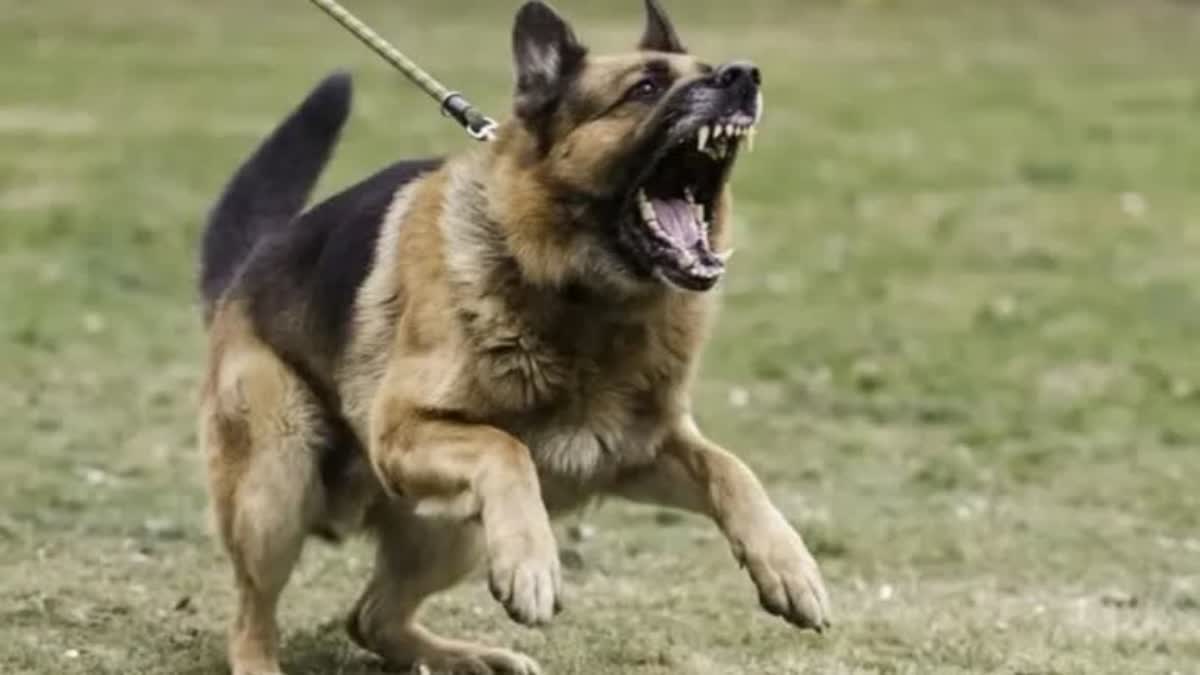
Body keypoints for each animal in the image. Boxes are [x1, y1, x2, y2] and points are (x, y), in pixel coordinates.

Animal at [201, 2, 830, 667]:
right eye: (645, 88)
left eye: (709, 71)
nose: (743, 76)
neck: (584, 301)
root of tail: (246, 268)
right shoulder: (401, 431)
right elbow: (505, 447)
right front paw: (533, 564)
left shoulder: (637, 450)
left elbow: (732, 468)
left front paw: (790, 566)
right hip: (277, 483)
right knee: (251, 617)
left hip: (450, 531)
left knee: (370, 618)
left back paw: (470, 658)